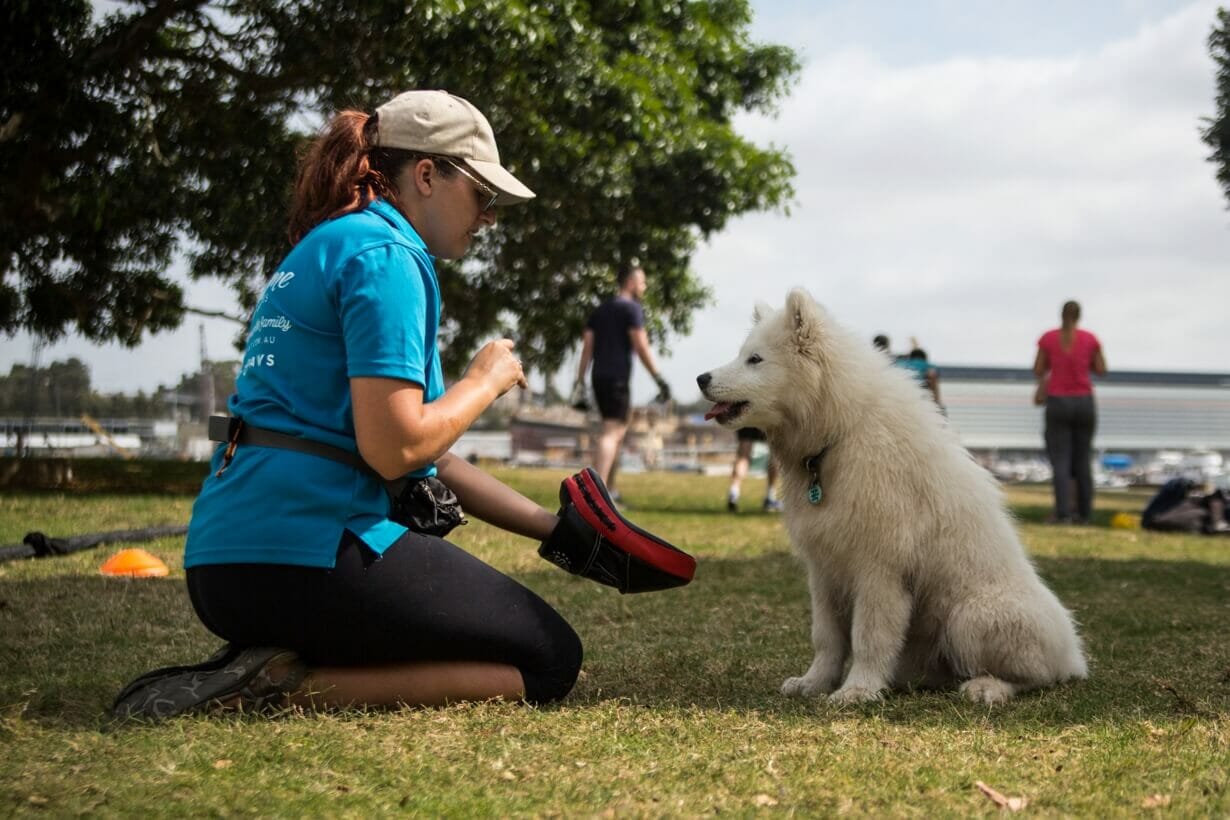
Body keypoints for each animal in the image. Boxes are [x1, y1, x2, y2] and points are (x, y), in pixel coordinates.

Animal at [698, 290, 1092, 708]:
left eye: (755, 359)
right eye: (742, 354)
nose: (701, 378)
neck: (839, 432)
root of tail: (1072, 655)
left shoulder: (880, 570)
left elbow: (868, 638)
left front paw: (857, 690)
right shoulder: (824, 571)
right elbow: (827, 639)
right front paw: (814, 684)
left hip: (971, 617)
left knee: (1035, 677)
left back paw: (987, 687)